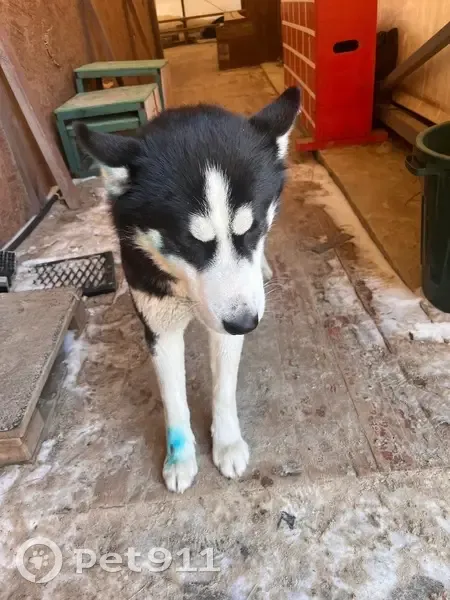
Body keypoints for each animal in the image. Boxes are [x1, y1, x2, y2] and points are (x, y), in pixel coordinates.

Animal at [75, 86, 301, 493]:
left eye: (254, 229)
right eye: (187, 242)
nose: (246, 324)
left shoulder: (228, 319)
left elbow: (224, 388)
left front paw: (227, 443)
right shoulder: (160, 327)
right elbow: (174, 399)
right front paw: (179, 458)